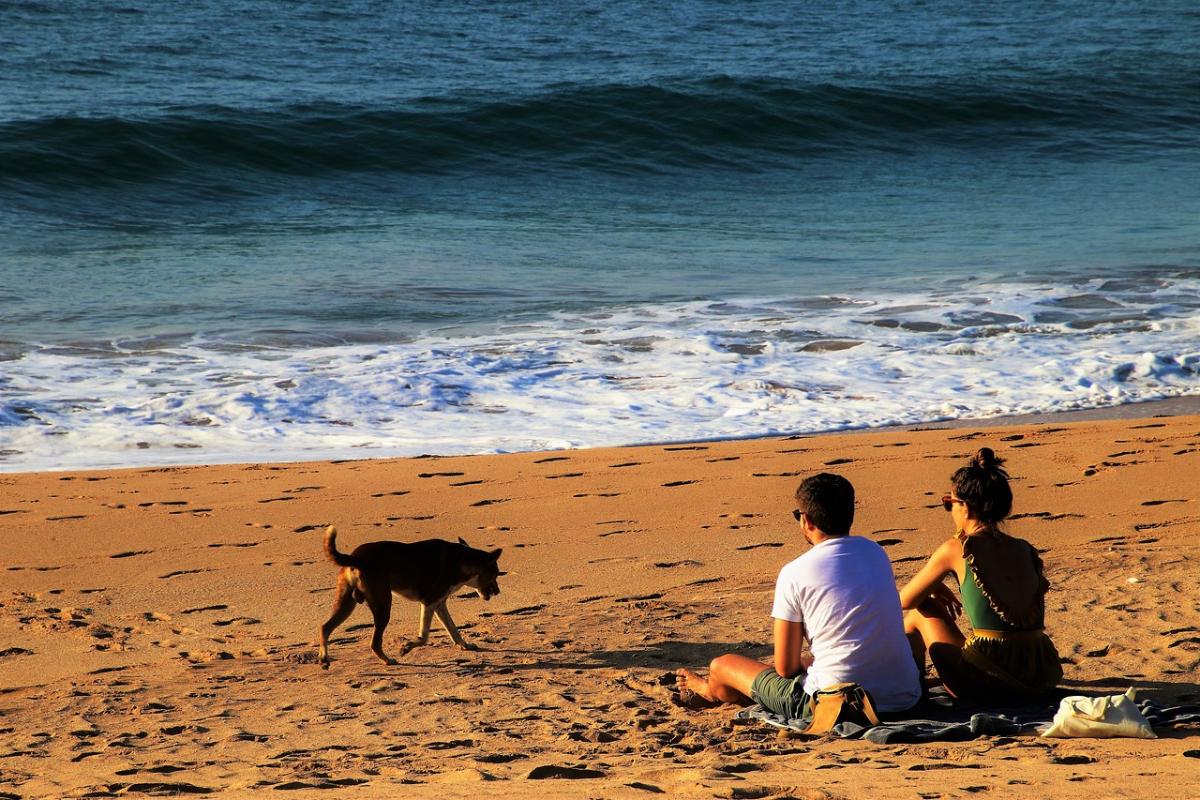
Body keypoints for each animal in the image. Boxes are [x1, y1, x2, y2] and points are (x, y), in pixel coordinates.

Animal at [319, 525, 501, 671]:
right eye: (496, 574)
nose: (498, 592)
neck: (461, 560)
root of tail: (357, 558)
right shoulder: (429, 602)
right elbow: (424, 637)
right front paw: (406, 648)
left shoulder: (439, 604)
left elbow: (453, 629)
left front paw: (465, 645)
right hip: (383, 605)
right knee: (375, 643)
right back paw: (388, 660)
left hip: (346, 603)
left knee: (325, 627)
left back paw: (323, 659)